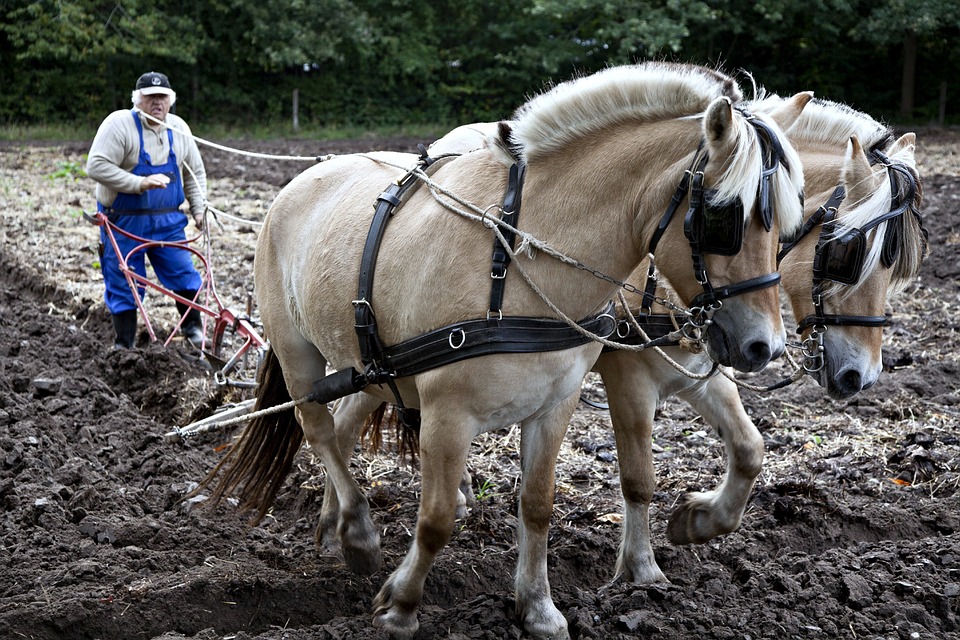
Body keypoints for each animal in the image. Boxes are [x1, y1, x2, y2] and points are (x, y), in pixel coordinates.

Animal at [197, 62, 810, 639]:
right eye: (724, 217)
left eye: (788, 221)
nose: (764, 345)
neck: (515, 257)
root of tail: (302, 177)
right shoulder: (456, 411)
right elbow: (437, 519)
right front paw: (401, 606)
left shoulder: (559, 403)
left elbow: (540, 505)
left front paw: (538, 607)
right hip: (297, 349)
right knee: (318, 428)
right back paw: (360, 531)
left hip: (372, 365)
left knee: (343, 425)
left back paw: (337, 532)